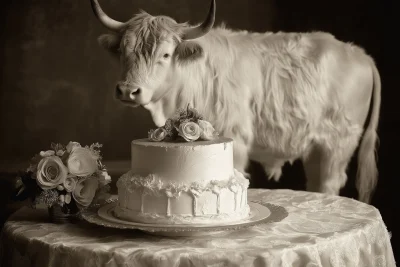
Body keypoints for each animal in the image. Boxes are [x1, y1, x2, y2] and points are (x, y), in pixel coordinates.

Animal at [90, 0, 382, 204]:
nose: (128, 90)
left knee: (330, 182)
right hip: (316, 149)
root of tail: (359, 54)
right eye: (123, 51)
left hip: (338, 146)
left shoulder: (238, 143)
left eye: (165, 54)